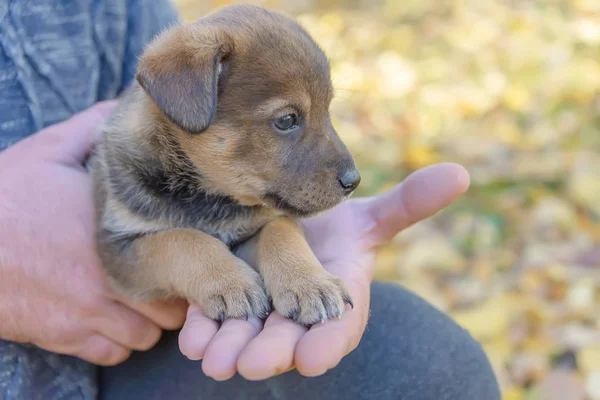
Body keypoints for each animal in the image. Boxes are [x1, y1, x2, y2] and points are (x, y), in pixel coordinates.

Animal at [89, 3, 360, 324]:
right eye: (286, 120)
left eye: (327, 110)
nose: (354, 181)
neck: (207, 197)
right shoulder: (120, 246)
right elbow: (182, 240)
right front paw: (230, 283)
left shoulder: (269, 218)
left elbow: (281, 231)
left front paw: (310, 282)